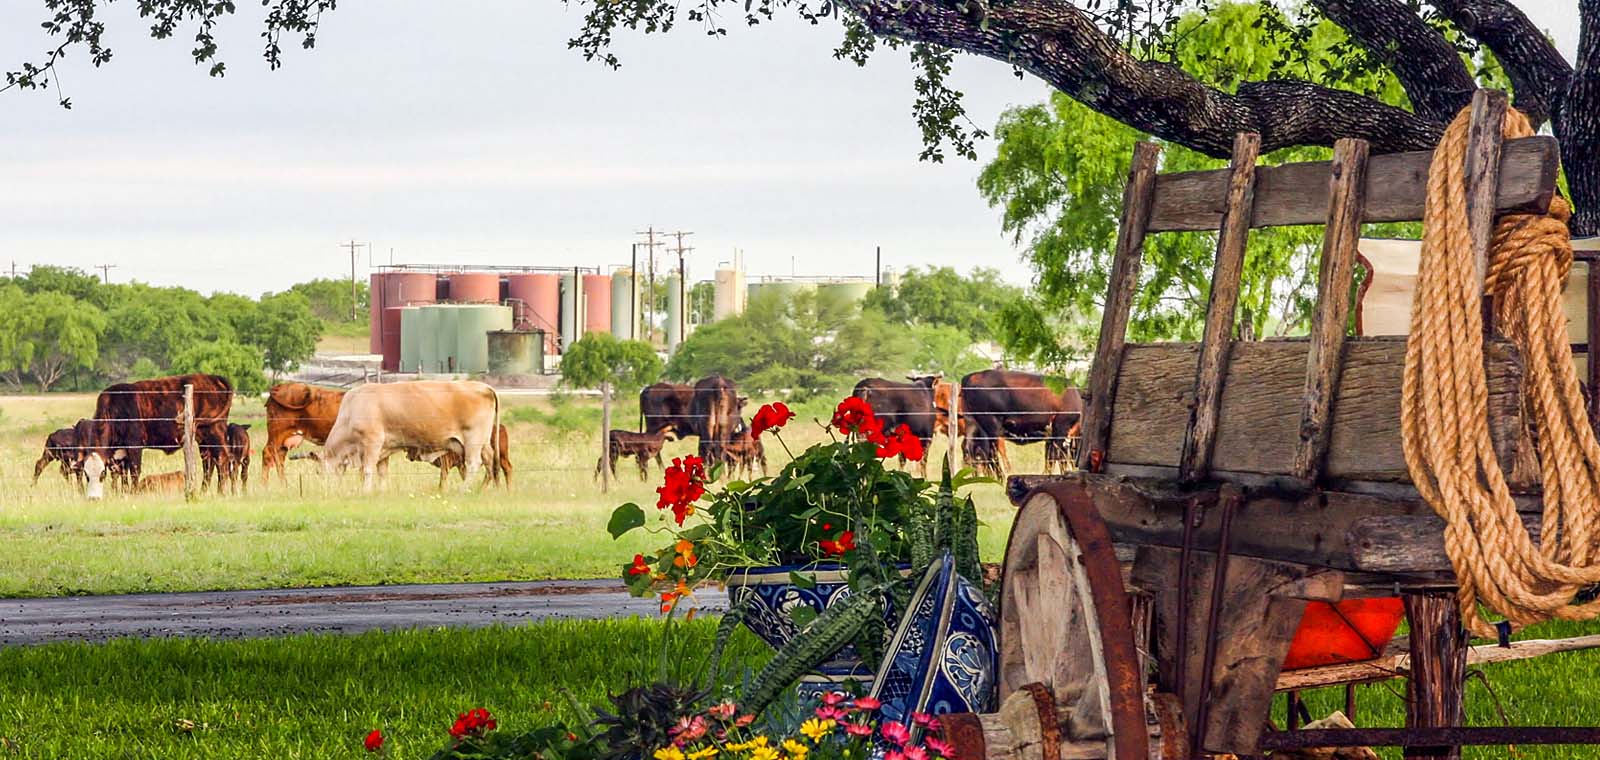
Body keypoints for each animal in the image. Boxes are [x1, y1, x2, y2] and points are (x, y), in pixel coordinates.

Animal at [75, 372, 233, 499]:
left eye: (102, 474)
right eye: (86, 475)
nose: (93, 498)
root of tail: (212, 377)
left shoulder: (134, 444)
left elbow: (134, 470)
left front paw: (133, 493)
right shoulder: (118, 452)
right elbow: (120, 473)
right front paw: (121, 493)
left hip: (215, 430)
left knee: (221, 458)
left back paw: (221, 492)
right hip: (203, 438)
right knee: (208, 463)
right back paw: (203, 491)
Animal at [318, 380, 499, 492]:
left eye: (320, 472)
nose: (327, 488)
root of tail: (484, 387)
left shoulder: (372, 442)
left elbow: (368, 470)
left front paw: (366, 491)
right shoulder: (384, 449)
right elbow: (382, 472)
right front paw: (381, 491)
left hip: (473, 440)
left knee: (474, 464)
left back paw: (463, 490)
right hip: (483, 442)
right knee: (490, 460)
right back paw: (484, 488)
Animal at [953, 371, 1081, 480]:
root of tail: (970, 376)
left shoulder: (1052, 435)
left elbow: (1053, 458)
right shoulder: (1061, 427)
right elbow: (1057, 456)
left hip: (972, 424)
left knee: (971, 450)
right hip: (991, 425)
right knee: (991, 453)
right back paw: (1001, 478)